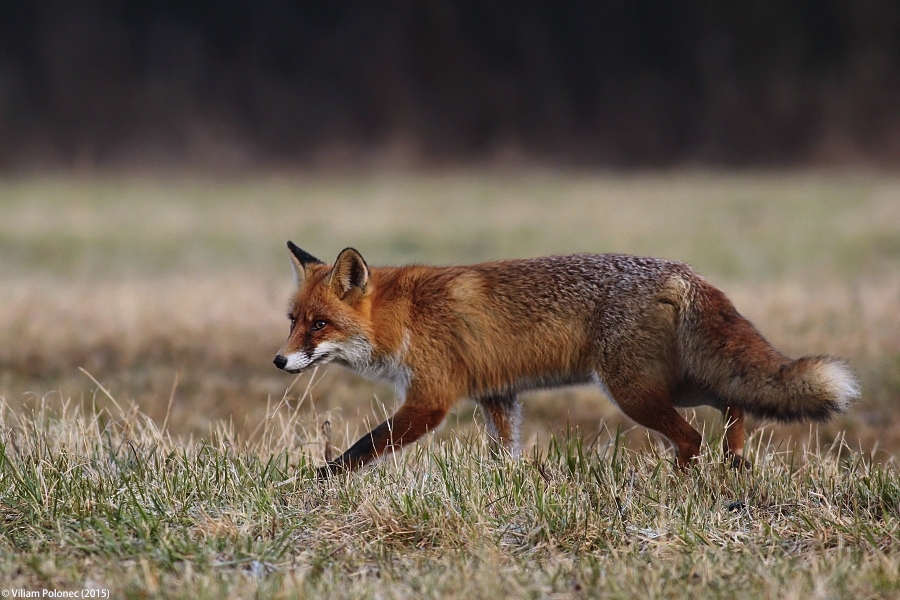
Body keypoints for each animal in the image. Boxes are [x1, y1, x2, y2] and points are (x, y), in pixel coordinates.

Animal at [272, 243, 856, 474]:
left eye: (320, 325)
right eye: (293, 319)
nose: (279, 361)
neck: (405, 315)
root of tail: (683, 271)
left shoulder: (429, 401)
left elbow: (361, 448)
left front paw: (318, 479)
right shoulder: (498, 396)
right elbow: (504, 454)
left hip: (633, 392)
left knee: (692, 436)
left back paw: (679, 483)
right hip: (674, 382)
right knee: (734, 398)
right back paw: (735, 457)